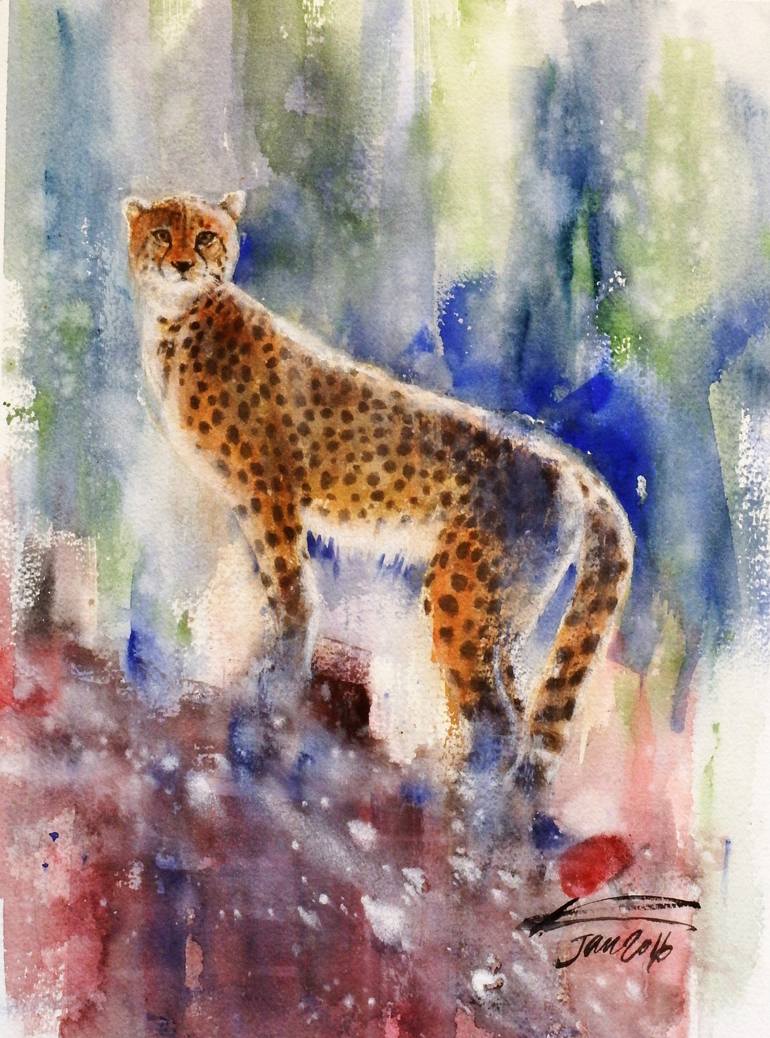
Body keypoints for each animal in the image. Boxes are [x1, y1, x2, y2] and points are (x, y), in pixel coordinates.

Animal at [123, 190, 634, 785]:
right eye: (162, 233)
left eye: (206, 236)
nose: (183, 263)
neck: (178, 320)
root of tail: (567, 465)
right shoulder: (257, 504)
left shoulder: (270, 494)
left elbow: (292, 593)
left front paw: (276, 690)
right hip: (506, 611)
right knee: (516, 704)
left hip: (461, 593)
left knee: (496, 720)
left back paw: (455, 799)